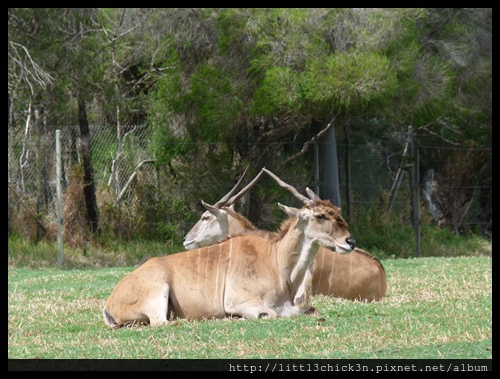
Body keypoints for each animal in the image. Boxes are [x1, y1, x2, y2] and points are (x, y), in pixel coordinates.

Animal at [103, 186, 356, 328]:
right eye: (320, 216)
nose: (350, 242)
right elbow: (271, 314)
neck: (276, 261)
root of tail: (110, 301)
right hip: (158, 293)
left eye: (338, 212)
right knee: (161, 323)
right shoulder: (242, 301)